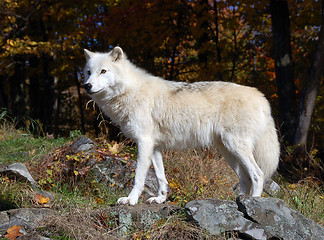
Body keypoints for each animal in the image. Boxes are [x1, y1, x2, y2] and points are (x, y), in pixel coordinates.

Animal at [82, 46, 280, 204]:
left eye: (103, 71)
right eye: (88, 72)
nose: (86, 86)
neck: (130, 90)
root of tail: (261, 98)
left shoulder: (144, 142)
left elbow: (138, 176)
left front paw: (131, 200)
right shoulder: (155, 146)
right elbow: (161, 177)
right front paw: (160, 198)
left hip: (236, 147)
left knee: (258, 174)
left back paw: (254, 203)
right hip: (228, 151)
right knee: (245, 178)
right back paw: (239, 201)